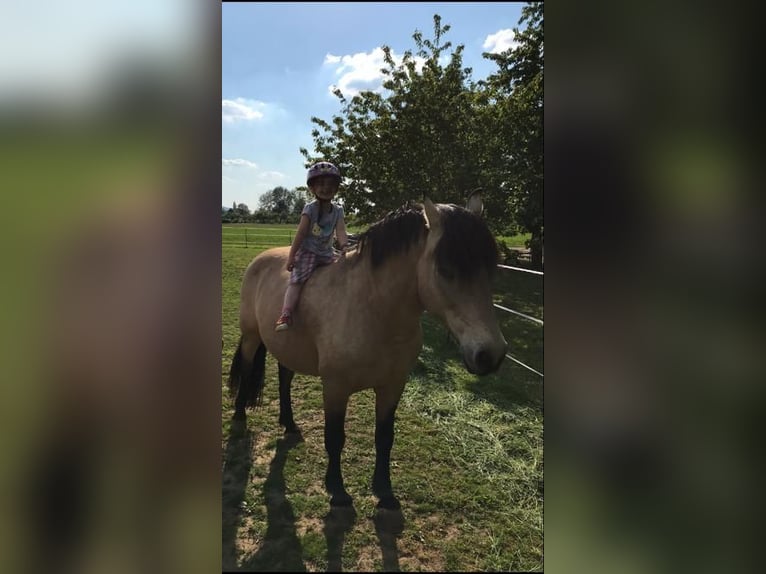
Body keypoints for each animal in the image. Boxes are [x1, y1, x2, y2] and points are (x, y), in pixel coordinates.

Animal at [225, 196, 508, 510]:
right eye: (445, 269)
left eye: (491, 269)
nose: (491, 354)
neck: (372, 308)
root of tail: (261, 259)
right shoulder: (335, 388)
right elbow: (335, 437)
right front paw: (337, 490)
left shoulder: (392, 386)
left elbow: (384, 437)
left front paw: (384, 490)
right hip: (251, 338)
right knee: (247, 369)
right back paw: (240, 417)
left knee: (285, 378)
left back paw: (289, 424)